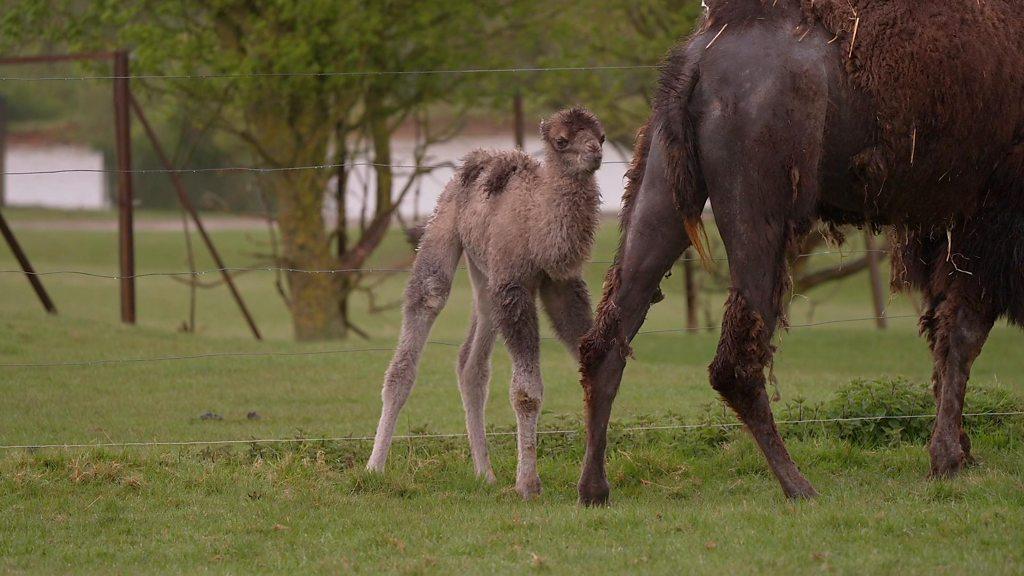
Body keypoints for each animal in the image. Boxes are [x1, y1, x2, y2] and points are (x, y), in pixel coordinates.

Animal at [368, 108, 602, 498]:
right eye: (561, 140)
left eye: (601, 135)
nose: (595, 152)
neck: (536, 224)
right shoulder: (513, 284)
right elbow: (526, 392)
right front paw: (528, 484)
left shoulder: (561, 285)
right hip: (444, 226)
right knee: (426, 301)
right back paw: (374, 467)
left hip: (484, 274)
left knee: (470, 365)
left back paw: (485, 474)